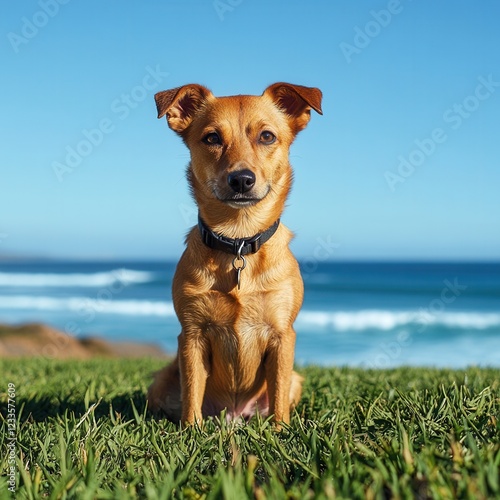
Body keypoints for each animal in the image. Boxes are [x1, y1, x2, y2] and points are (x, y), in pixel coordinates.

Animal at [146, 83, 322, 426]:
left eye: (267, 136)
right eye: (212, 138)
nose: (241, 179)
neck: (239, 239)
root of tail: (234, 414)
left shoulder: (283, 336)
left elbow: (278, 392)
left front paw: (281, 430)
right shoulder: (192, 335)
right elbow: (192, 391)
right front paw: (191, 430)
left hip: (296, 380)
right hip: (160, 380)